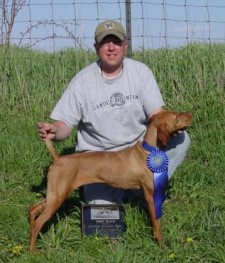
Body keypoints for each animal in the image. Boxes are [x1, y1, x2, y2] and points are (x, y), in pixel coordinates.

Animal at [29, 110, 192, 253]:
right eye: (176, 116)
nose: (190, 113)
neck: (149, 151)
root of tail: (58, 159)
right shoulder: (151, 196)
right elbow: (157, 224)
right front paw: (160, 246)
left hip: (54, 194)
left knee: (33, 209)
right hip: (57, 196)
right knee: (38, 223)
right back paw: (32, 251)